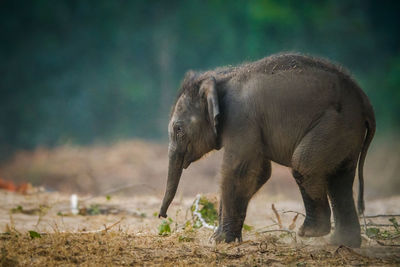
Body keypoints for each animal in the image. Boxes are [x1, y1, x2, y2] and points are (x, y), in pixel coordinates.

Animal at [159, 53, 376, 248]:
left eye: (178, 129)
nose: (163, 216)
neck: (220, 77)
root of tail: (364, 101)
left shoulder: (241, 120)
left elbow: (236, 171)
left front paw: (221, 240)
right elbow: (261, 172)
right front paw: (220, 239)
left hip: (334, 125)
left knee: (304, 166)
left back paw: (310, 232)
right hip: (346, 133)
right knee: (339, 178)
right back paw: (343, 243)